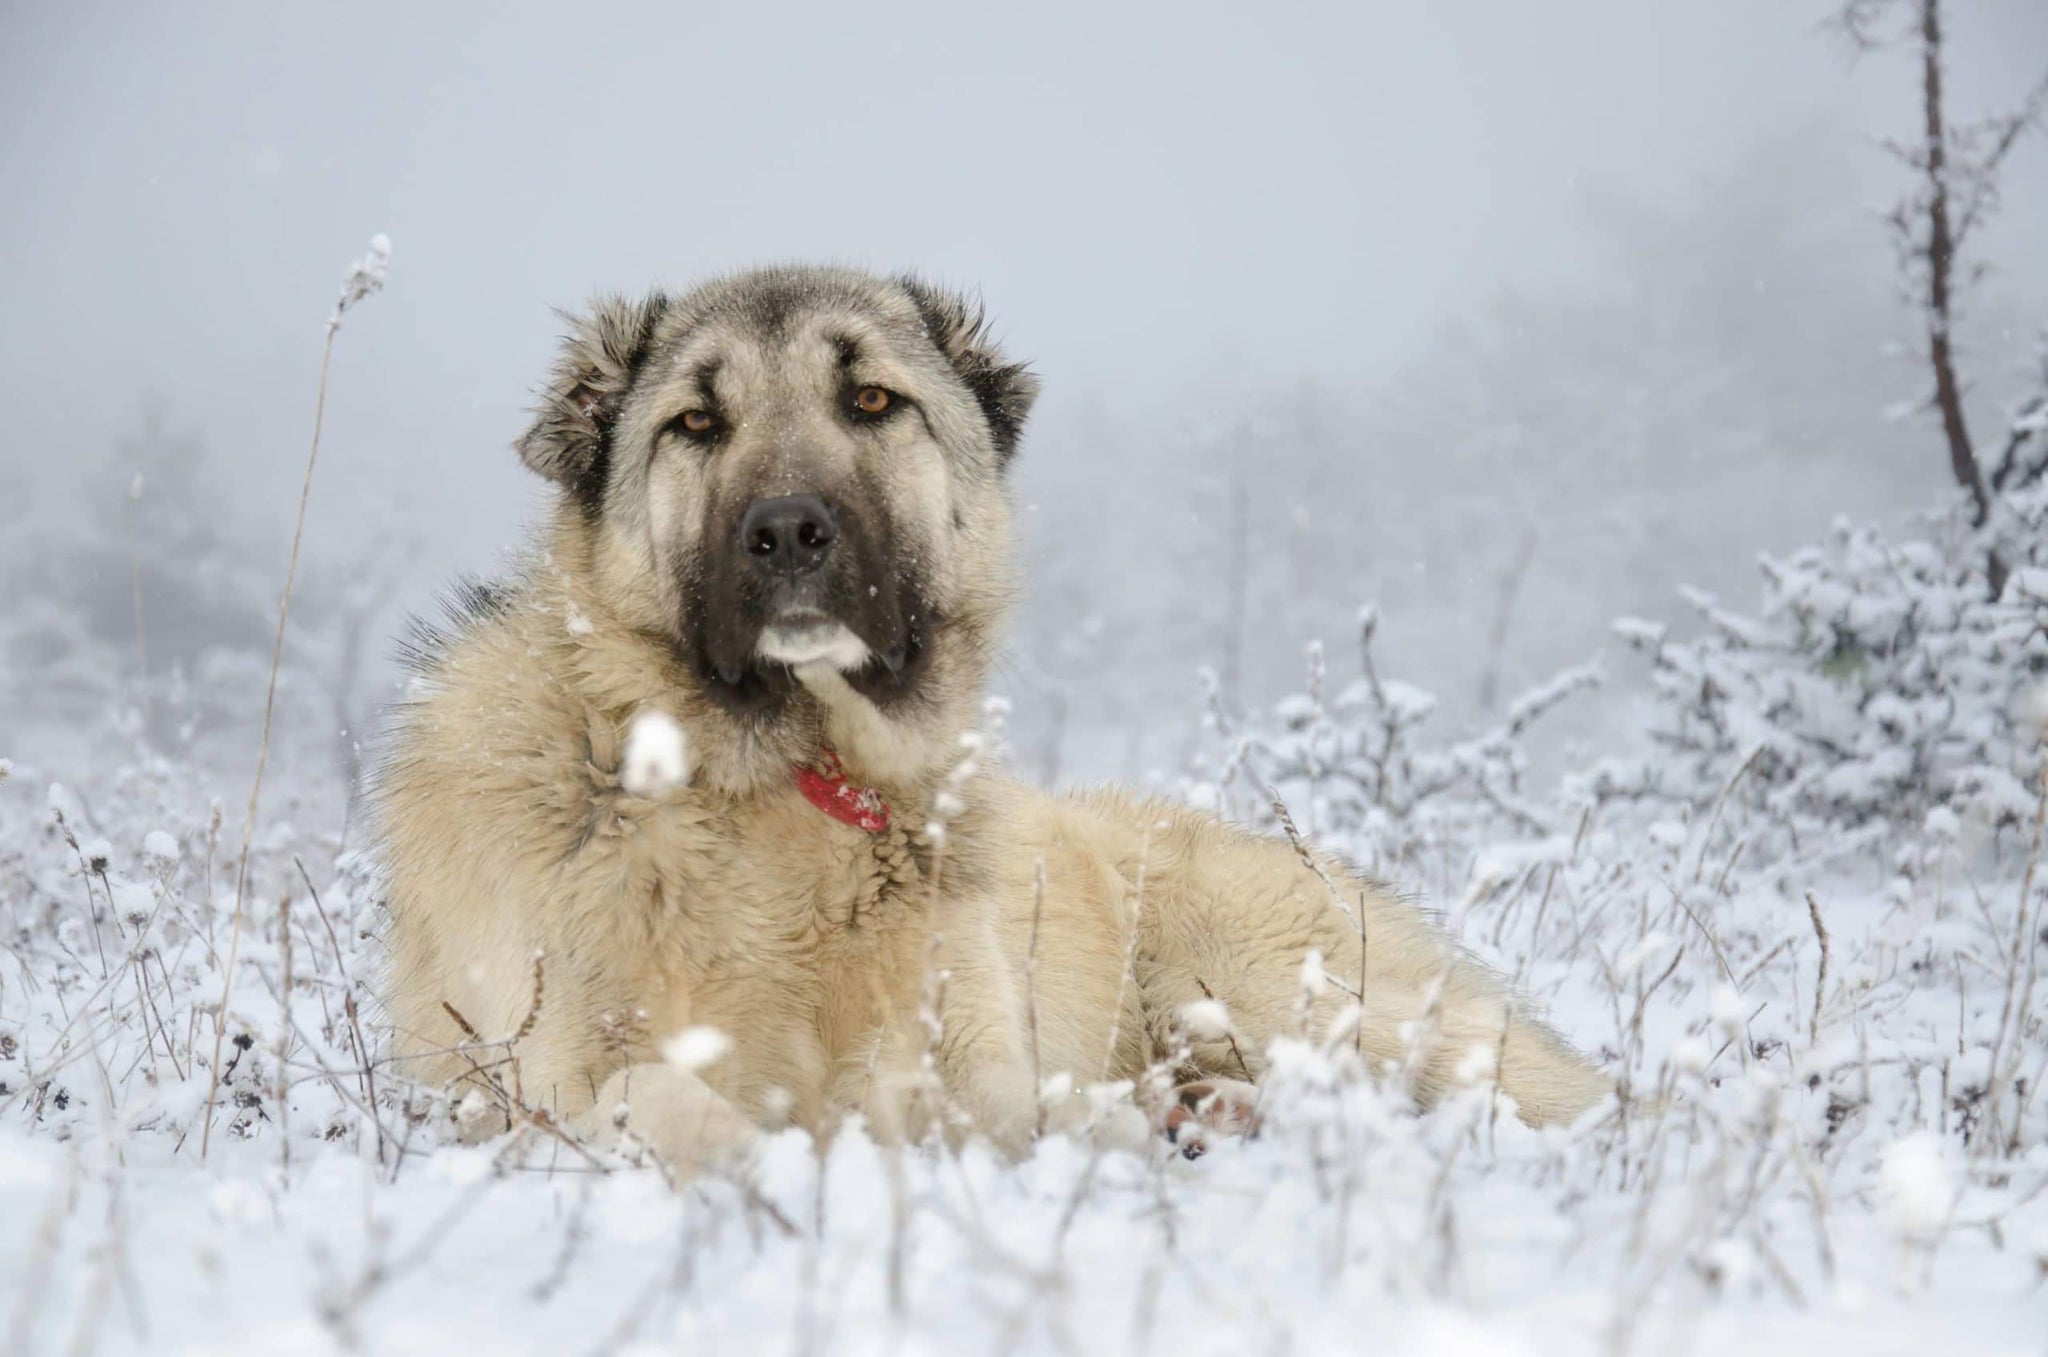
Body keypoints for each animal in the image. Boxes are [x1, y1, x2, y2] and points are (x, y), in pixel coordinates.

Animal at [376, 266, 1605, 1170]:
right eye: (695, 421)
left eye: (872, 400)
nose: (787, 531)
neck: (772, 791)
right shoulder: (522, 1092)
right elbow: (651, 1094)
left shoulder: (969, 1072)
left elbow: (981, 1117)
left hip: (1270, 992)